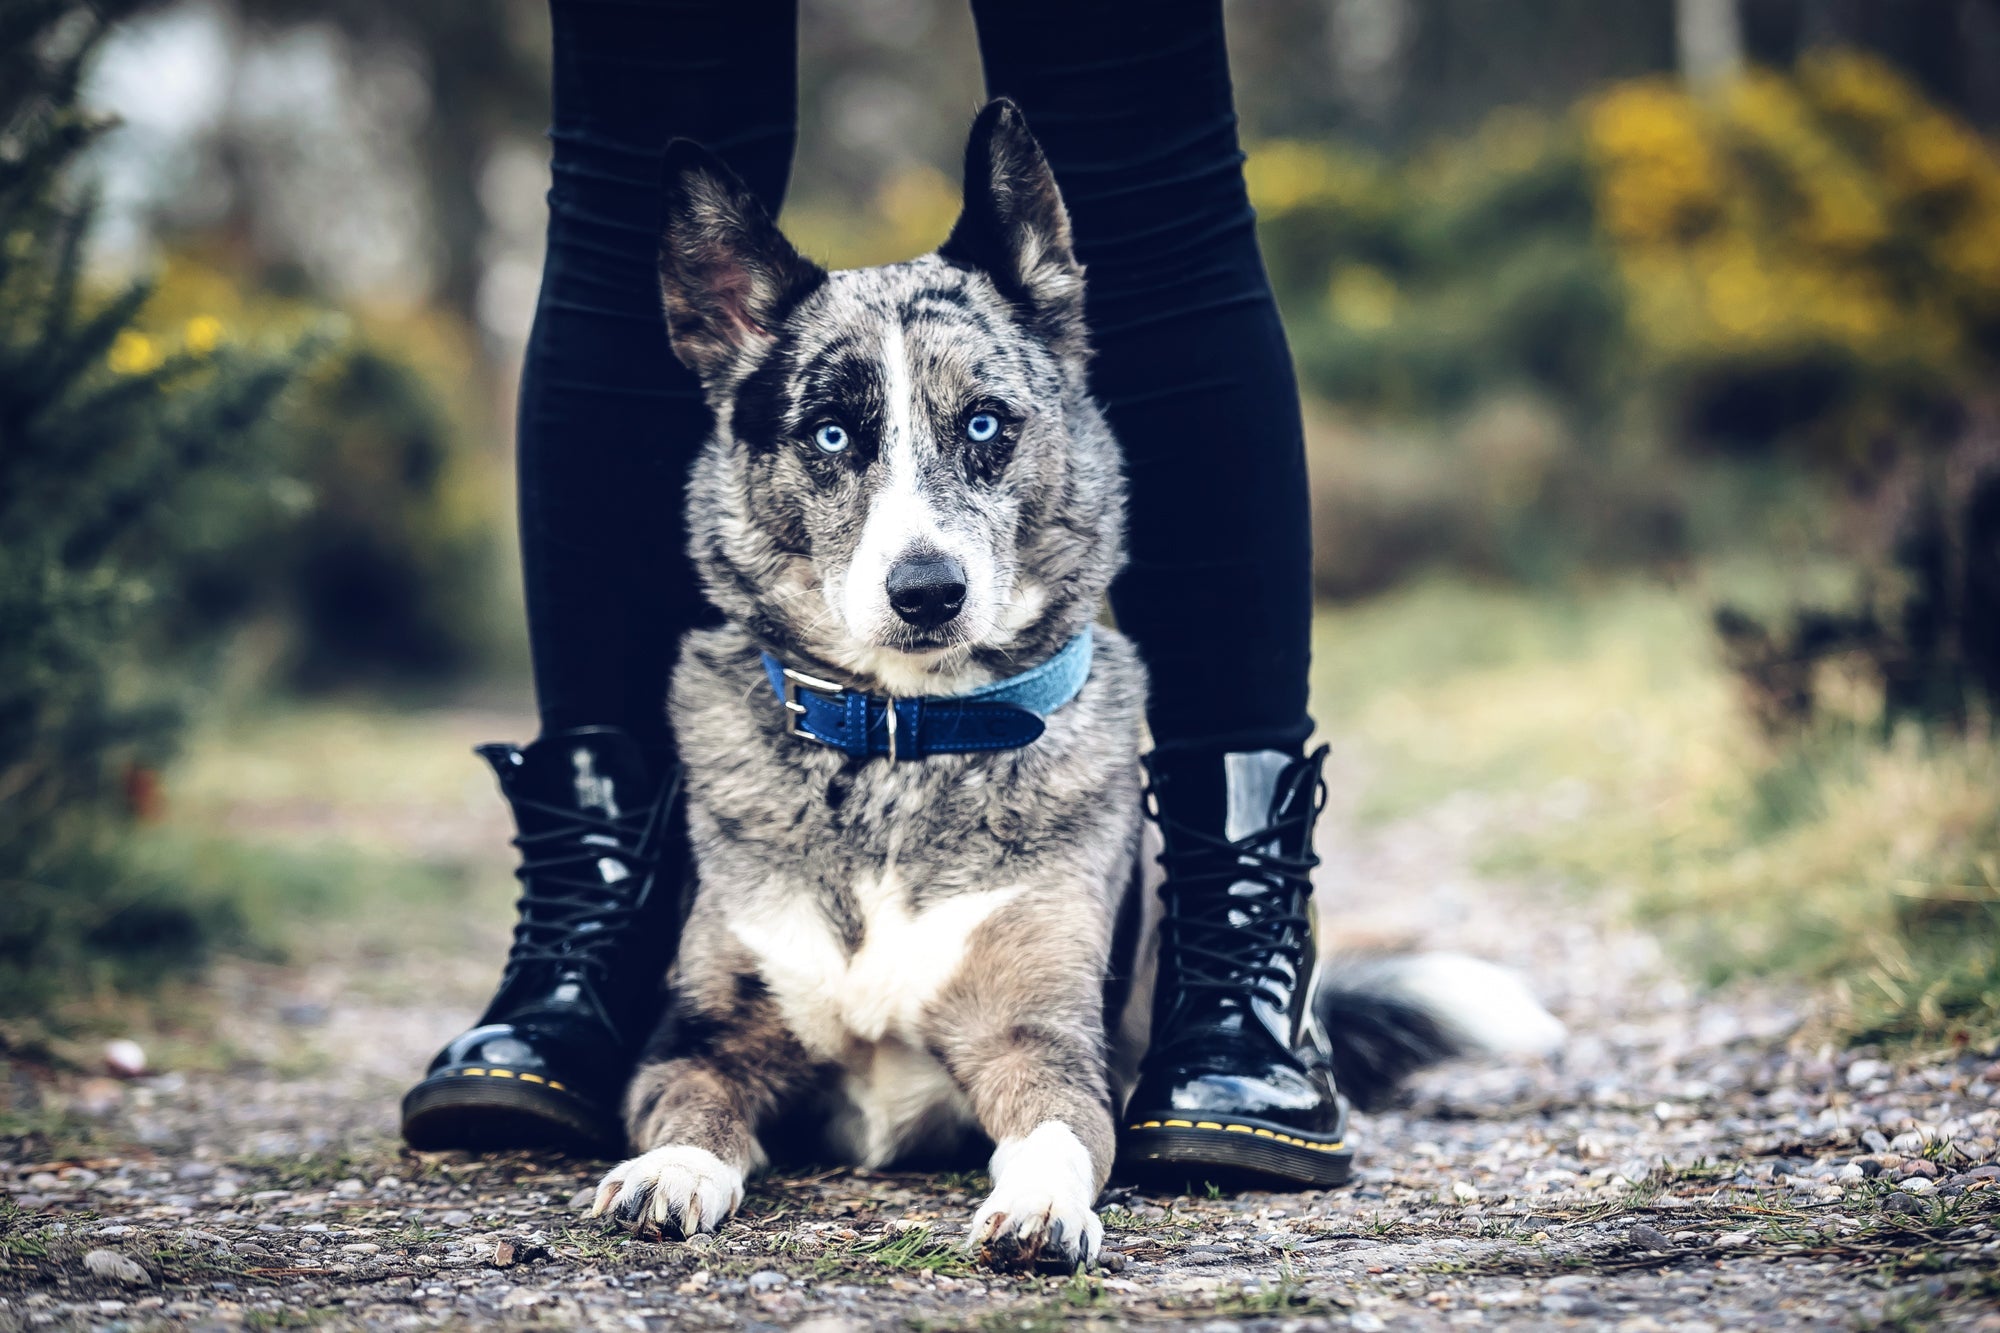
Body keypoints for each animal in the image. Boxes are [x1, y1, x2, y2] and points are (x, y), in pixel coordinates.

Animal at [584, 98, 1552, 1264]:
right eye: (831, 433)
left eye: (985, 423)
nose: (927, 591)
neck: (905, 739)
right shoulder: (709, 1033)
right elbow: (691, 1104)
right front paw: (671, 1171)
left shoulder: (1037, 1035)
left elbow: (1055, 1127)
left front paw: (1041, 1203)